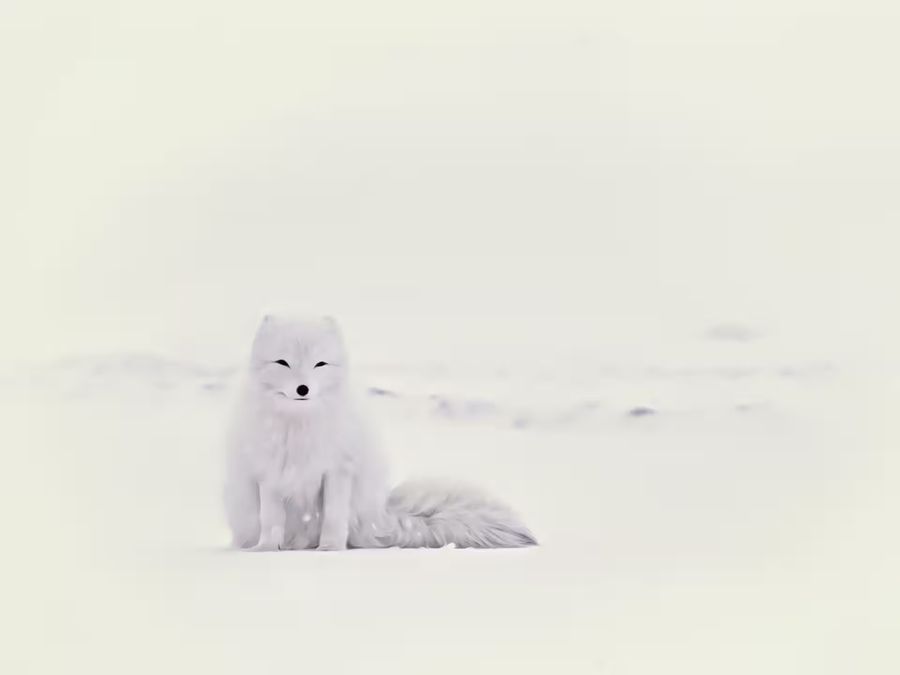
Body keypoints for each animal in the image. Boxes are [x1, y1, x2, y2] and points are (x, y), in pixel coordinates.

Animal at [224, 314, 536, 551]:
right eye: (282, 362)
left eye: (319, 364)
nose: (303, 389)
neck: (299, 426)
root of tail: (379, 517)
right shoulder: (269, 472)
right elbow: (270, 519)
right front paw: (266, 550)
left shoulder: (339, 469)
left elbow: (333, 516)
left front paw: (330, 550)